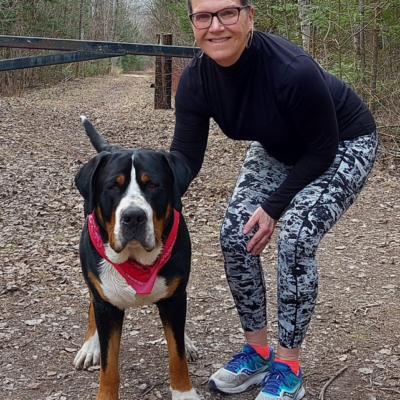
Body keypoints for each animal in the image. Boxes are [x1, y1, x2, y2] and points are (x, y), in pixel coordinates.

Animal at [73, 116, 200, 400]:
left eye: (152, 184)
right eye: (113, 186)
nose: (133, 216)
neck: (136, 261)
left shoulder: (175, 298)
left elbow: (177, 355)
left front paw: (184, 392)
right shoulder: (106, 305)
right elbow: (109, 365)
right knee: (91, 303)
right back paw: (90, 346)